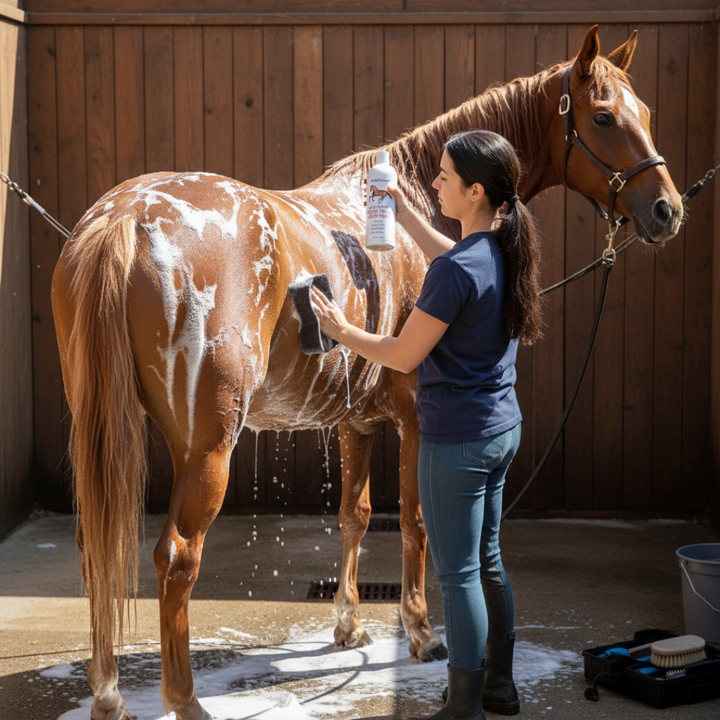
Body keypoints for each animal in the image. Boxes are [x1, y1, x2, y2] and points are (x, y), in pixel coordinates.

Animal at [51, 25, 682, 720]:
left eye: (645, 112)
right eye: (603, 117)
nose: (666, 210)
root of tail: (124, 218)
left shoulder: (353, 420)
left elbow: (355, 513)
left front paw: (349, 624)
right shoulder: (415, 420)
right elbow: (414, 522)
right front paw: (421, 631)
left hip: (100, 430)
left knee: (93, 546)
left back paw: (109, 693)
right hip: (206, 447)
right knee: (177, 557)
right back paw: (184, 699)